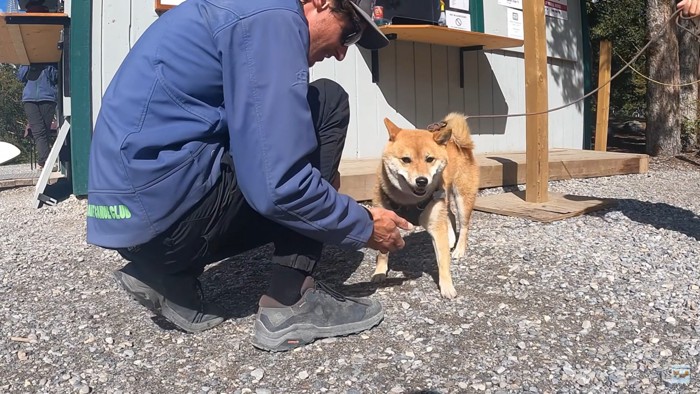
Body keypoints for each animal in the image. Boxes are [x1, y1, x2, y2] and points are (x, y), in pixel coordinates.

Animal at [372, 112, 482, 298]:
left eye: (429, 159)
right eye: (406, 159)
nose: (422, 181)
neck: (408, 200)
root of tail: (458, 144)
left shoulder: (436, 226)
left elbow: (443, 261)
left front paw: (447, 286)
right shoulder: (384, 222)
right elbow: (382, 252)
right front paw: (379, 272)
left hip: (462, 198)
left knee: (464, 225)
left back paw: (459, 249)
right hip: (444, 198)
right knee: (450, 215)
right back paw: (451, 239)